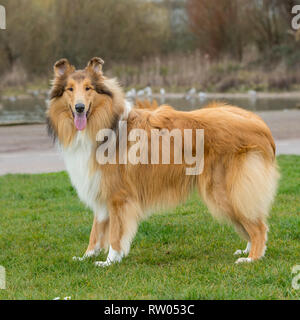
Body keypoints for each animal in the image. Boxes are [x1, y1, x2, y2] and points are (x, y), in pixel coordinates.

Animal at [46, 57, 278, 264]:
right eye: (69, 89)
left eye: (88, 88)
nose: (79, 108)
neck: (104, 125)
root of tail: (258, 123)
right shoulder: (101, 189)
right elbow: (96, 231)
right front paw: (86, 256)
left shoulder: (118, 196)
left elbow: (115, 233)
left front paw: (109, 261)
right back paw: (247, 250)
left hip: (224, 190)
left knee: (259, 226)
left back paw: (252, 258)